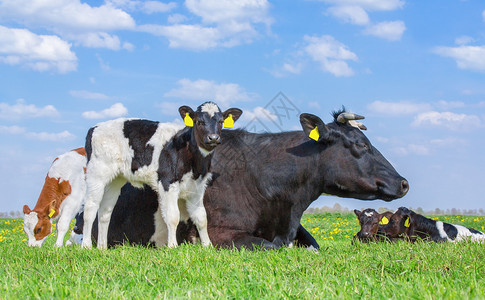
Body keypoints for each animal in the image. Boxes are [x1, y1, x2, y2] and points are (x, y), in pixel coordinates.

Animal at [81, 102, 244, 250]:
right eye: (199, 121)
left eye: (221, 121)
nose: (213, 138)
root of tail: (95, 127)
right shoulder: (167, 182)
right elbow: (173, 217)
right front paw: (172, 246)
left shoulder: (197, 187)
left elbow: (201, 218)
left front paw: (208, 246)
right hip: (96, 173)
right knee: (90, 208)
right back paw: (86, 246)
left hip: (115, 180)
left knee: (105, 212)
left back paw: (102, 247)